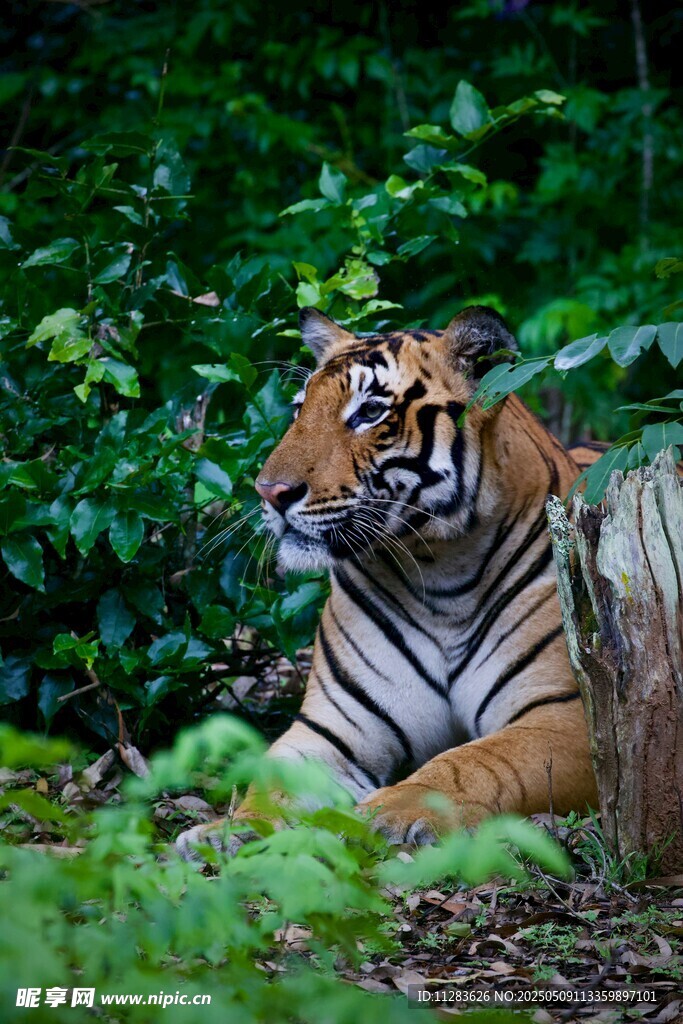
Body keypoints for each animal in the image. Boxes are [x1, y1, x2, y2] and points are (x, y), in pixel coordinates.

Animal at [177, 304, 600, 860]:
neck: (441, 573)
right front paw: (228, 833)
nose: (269, 491)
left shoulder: (567, 715)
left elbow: (474, 761)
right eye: (299, 410)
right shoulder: (333, 727)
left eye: (369, 412)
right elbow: (271, 782)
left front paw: (389, 812)